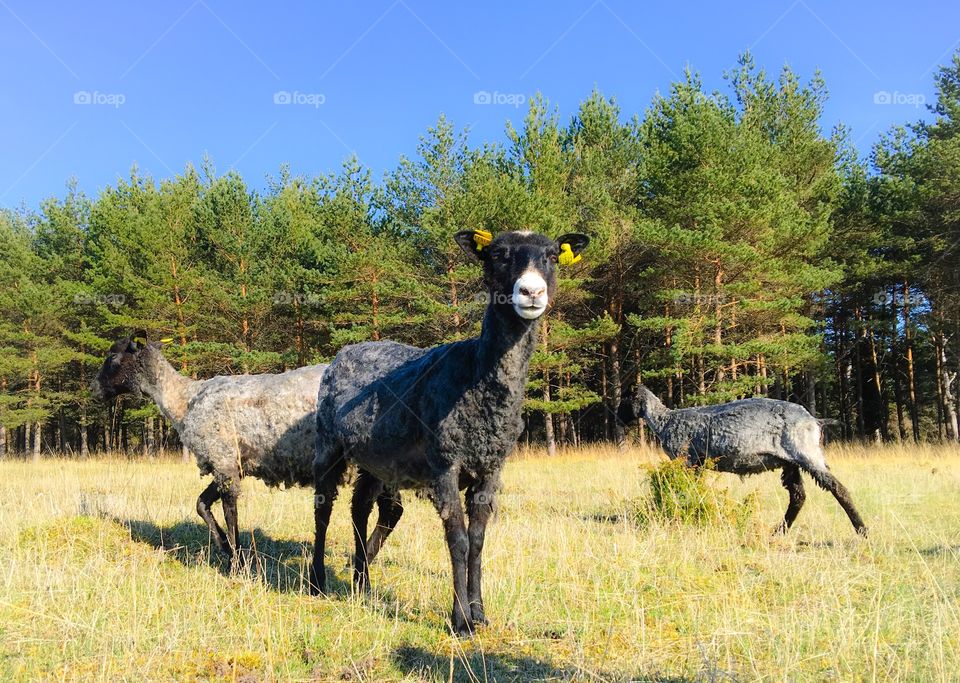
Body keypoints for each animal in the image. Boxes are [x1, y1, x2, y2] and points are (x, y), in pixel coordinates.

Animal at [93, 335, 403, 566]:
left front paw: (237, 561)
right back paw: (363, 559)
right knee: (393, 511)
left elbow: (230, 511)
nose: (93, 389)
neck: (184, 401)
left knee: (390, 510)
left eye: (113, 357)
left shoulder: (222, 458)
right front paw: (225, 547)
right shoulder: (230, 462)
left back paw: (362, 560)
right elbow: (201, 504)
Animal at [310, 229, 590, 635]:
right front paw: (460, 620)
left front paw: (480, 613)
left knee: (362, 507)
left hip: (376, 459)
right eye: (498, 255)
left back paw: (362, 583)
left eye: (553, 256)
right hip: (328, 442)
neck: (475, 372)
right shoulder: (445, 463)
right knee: (323, 508)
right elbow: (457, 539)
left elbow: (478, 539)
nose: (532, 292)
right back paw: (317, 579)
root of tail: (347, 350)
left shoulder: (491, 467)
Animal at [618, 385, 868, 536]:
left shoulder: (687, 460)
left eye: (624, 400)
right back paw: (779, 531)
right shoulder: (697, 465)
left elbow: (686, 492)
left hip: (806, 453)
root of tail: (814, 420)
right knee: (798, 496)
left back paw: (862, 529)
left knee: (838, 488)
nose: (617, 417)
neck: (665, 421)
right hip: (791, 462)